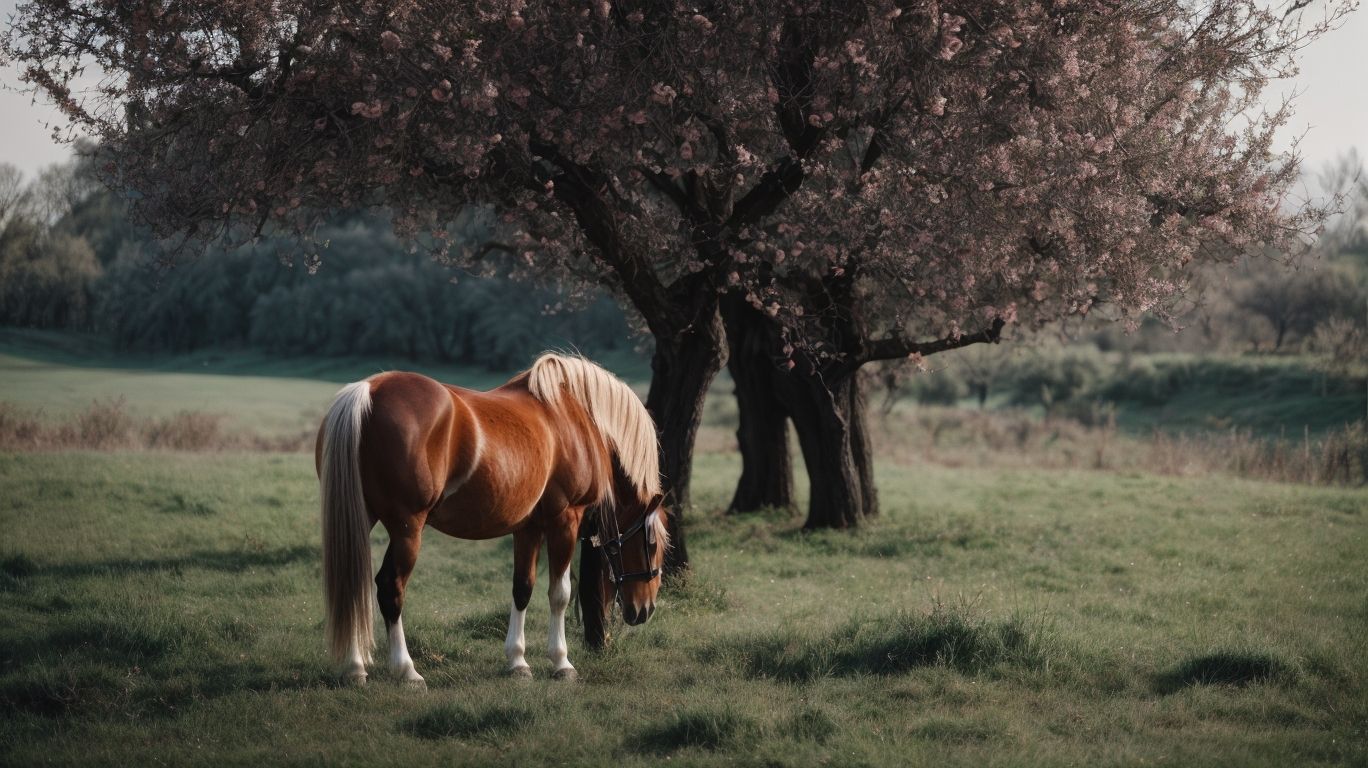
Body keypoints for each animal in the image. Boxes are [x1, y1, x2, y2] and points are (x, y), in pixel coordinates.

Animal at [315, 353, 668, 686]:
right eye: (652, 544)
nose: (646, 609)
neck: (576, 416)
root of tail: (370, 390)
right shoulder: (564, 519)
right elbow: (560, 594)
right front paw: (562, 663)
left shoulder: (528, 528)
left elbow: (522, 588)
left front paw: (518, 662)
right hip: (407, 529)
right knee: (390, 588)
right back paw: (407, 671)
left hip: (362, 520)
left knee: (354, 586)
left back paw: (356, 668)